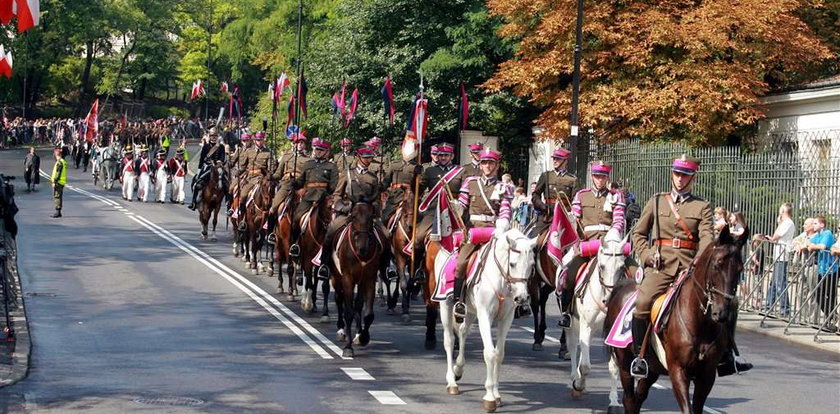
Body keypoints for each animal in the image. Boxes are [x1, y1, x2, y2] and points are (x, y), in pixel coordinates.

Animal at [332, 202, 384, 358]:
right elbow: (348, 312)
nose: (362, 247)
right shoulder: (347, 279)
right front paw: (348, 348)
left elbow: (368, 314)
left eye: (371, 217)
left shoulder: (369, 279)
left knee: (358, 305)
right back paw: (341, 330)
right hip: (336, 278)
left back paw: (358, 332)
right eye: (353, 216)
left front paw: (363, 337)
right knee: (339, 300)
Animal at [436, 228, 536, 412]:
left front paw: (496, 394)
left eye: (532, 266)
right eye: (513, 264)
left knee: (463, 331)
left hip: (470, 310)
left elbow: (500, 354)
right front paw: (489, 396)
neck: (502, 280)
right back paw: (452, 382)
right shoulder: (485, 315)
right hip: (445, 305)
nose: (521, 298)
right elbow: (490, 353)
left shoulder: (506, 318)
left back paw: (458, 368)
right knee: (449, 340)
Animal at [568, 228, 628, 406]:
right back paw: (574, 377)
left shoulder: (611, 333)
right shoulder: (585, 325)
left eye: (622, 267)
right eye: (602, 266)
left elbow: (614, 367)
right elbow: (585, 366)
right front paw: (578, 385)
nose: (609, 299)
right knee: (573, 345)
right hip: (572, 323)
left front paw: (614, 399)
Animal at [604, 226, 748, 414]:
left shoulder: (707, 376)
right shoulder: (678, 371)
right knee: (629, 399)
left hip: (652, 369)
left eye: (740, 269)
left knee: (638, 398)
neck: (700, 324)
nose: (721, 312)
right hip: (625, 363)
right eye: (717, 265)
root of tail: (622, 285)